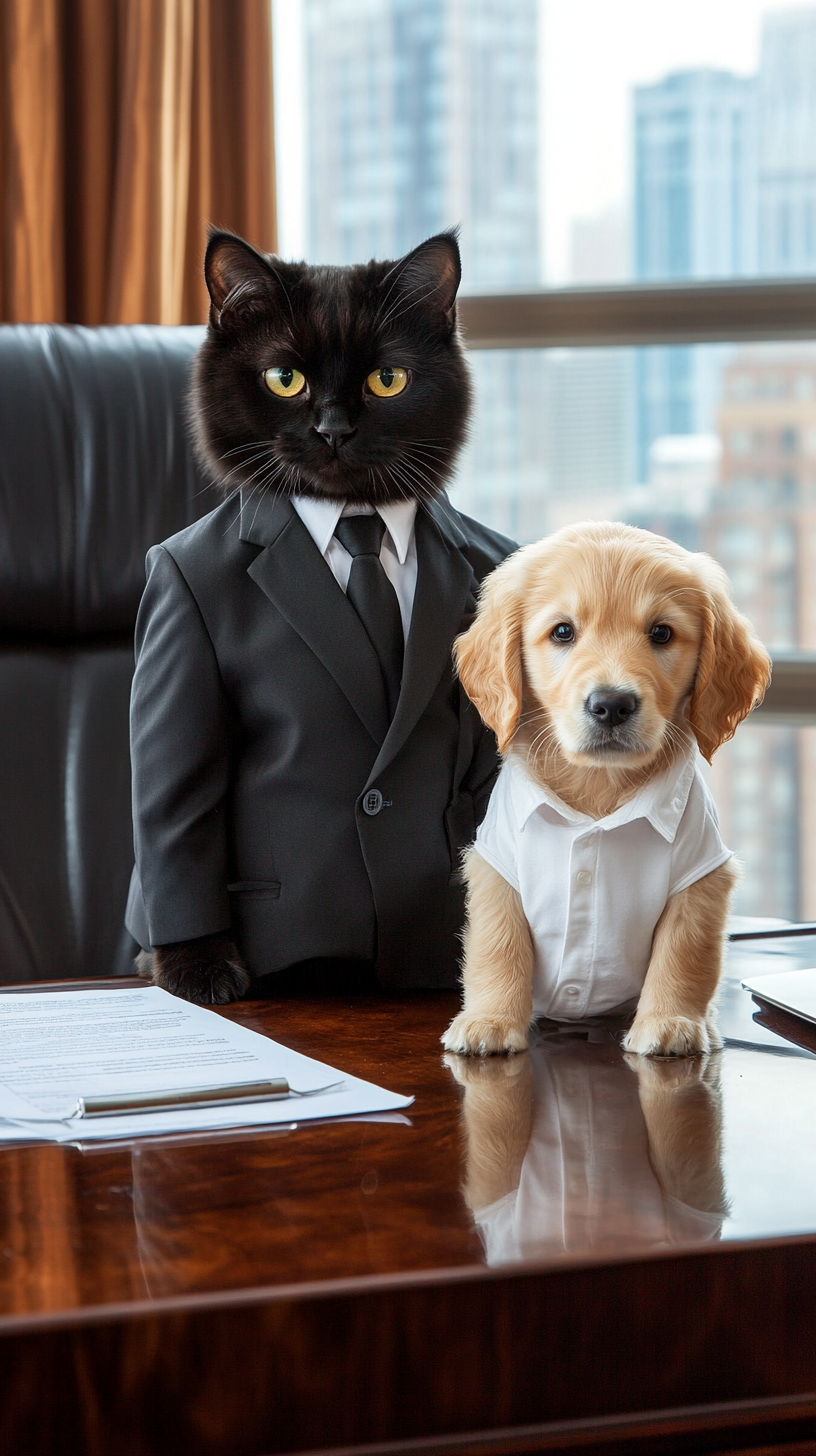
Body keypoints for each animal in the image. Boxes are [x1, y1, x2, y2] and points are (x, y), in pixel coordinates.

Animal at [132, 230, 515, 1001]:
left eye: (386, 380)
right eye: (285, 378)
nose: (334, 429)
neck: (357, 519)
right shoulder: (180, 634)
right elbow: (180, 816)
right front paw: (197, 970)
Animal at [442, 521, 769, 1059]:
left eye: (661, 633)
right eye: (562, 632)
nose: (612, 705)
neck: (599, 785)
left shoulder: (701, 876)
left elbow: (684, 952)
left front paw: (670, 1021)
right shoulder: (496, 866)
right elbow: (497, 944)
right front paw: (489, 1020)